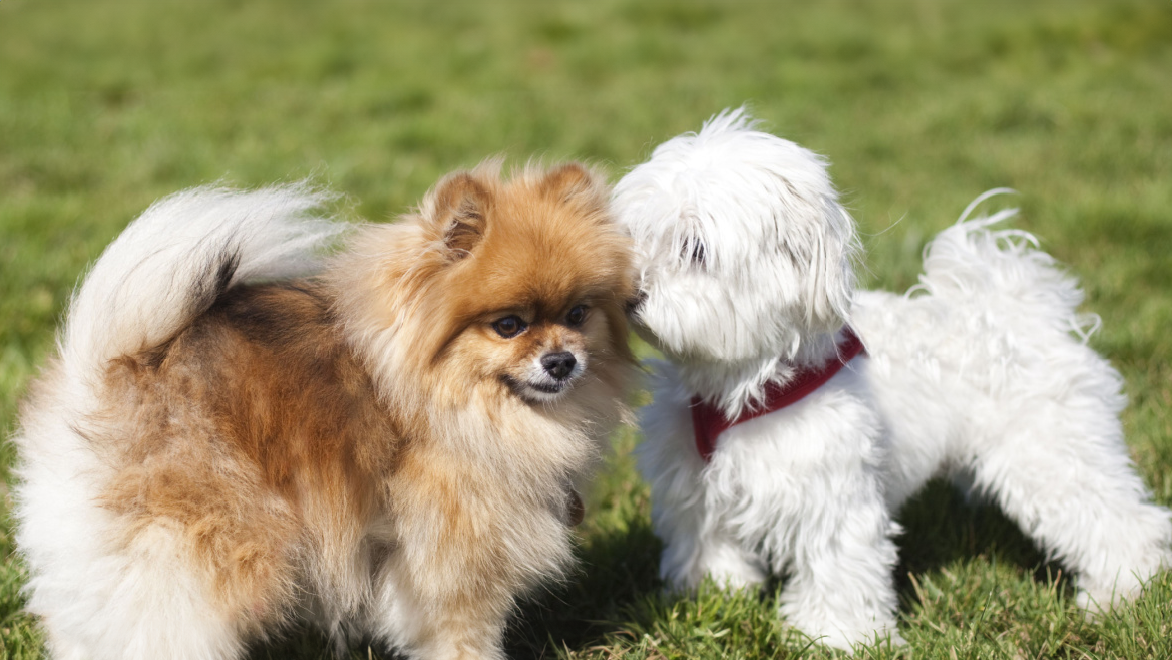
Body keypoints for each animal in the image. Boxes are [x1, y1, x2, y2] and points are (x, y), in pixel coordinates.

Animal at [13, 161, 637, 660]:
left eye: (578, 314)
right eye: (508, 325)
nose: (562, 361)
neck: (441, 397)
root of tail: (106, 371)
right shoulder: (454, 560)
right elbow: (464, 637)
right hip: (199, 549)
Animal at [614, 109, 1172, 651]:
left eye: (695, 249)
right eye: (634, 238)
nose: (629, 295)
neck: (739, 383)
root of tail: (1020, 309)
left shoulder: (832, 493)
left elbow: (837, 566)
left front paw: (835, 637)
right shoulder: (692, 485)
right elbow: (706, 544)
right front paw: (710, 594)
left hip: (1052, 456)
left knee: (1120, 522)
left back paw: (1120, 591)